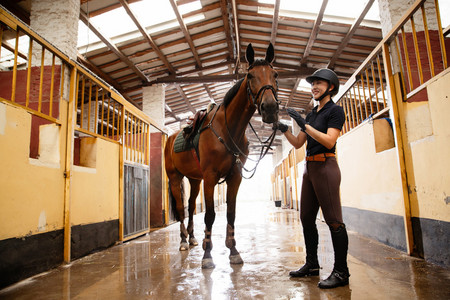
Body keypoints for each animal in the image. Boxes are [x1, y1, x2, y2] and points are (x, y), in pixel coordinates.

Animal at [163, 42, 280, 270]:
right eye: (250, 75)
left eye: (275, 74)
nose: (270, 108)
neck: (228, 130)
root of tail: (171, 138)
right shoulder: (210, 177)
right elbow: (210, 215)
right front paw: (207, 255)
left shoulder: (235, 177)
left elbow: (230, 213)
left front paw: (233, 251)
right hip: (175, 178)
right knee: (181, 209)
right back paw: (183, 241)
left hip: (194, 180)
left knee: (191, 206)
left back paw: (192, 238)